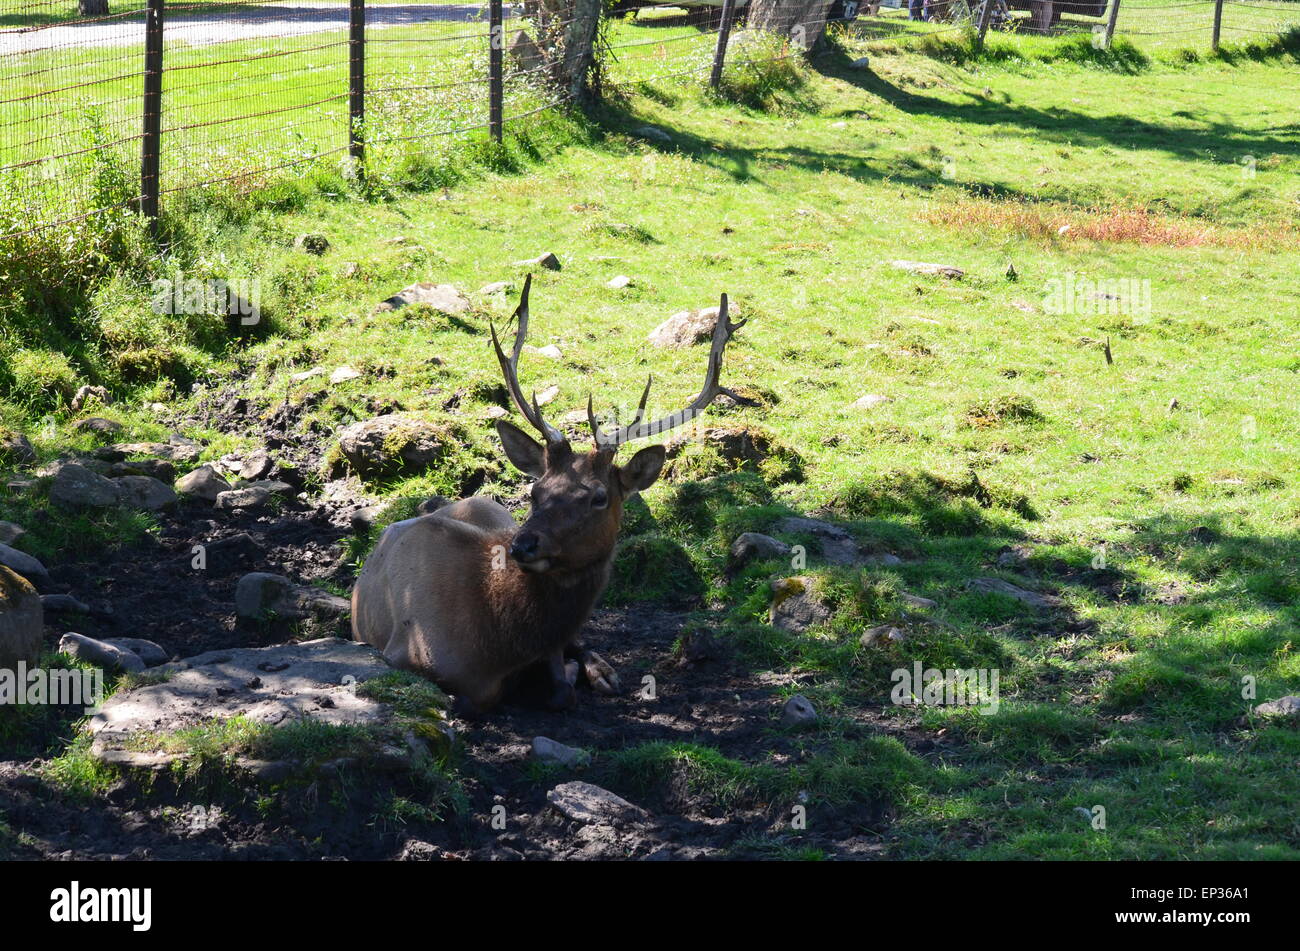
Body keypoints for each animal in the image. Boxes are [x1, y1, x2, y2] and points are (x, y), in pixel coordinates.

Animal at [351, 274, 745, 715]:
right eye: (535, 491)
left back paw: (604, 671)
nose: (523, 545)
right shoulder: (402, 652)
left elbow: (561, 688)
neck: (492, 644)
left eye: (598, 497)